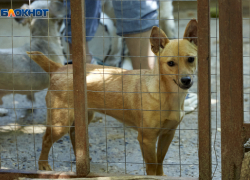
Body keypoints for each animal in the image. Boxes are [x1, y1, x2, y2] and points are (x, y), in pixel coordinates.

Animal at [27, 19, 198, 175]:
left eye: (191, 59)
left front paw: (161, 176)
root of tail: (58, 68)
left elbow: (160, 161)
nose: (186, 80)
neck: (168, 95)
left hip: (83, 117)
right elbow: (152, 166)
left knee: (74, 135)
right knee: (46, 139)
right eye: (170, 63)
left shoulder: (168, 134)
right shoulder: (147, 139)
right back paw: (43, 165)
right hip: (60, 123)